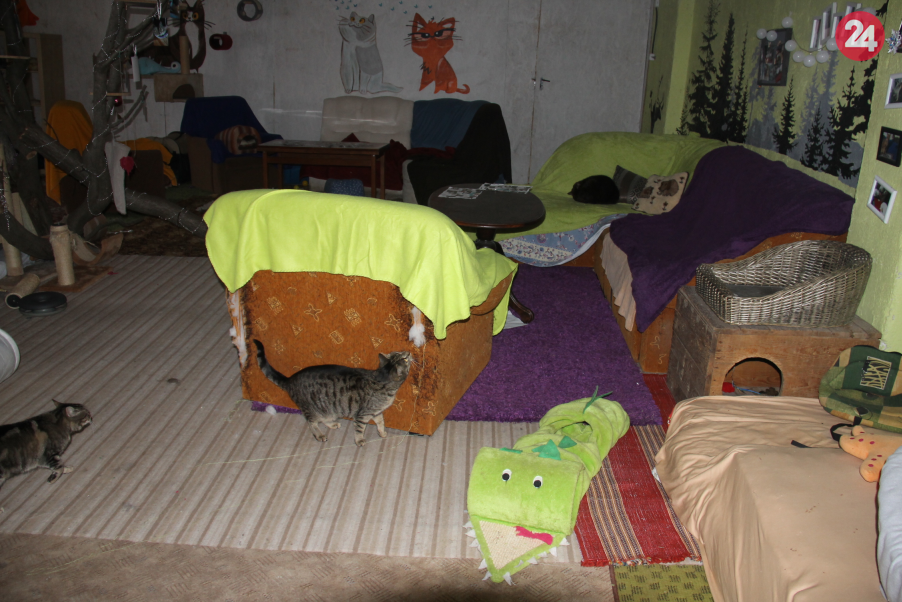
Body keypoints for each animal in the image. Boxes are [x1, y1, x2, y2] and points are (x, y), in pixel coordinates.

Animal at [254, 340, 411, 446]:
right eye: (403, 358)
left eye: (400, 354)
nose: (408, 352)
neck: (381, 378)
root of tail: (290, 380)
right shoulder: (363, 414)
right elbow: (359, 429)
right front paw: (359, 440)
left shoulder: (376, 412)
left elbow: (381, 422)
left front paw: (382, 432)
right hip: (311, 408)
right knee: (311, 423)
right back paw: (319, 435)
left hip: (327, 408)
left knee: (324, 418)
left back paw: (332, 424)